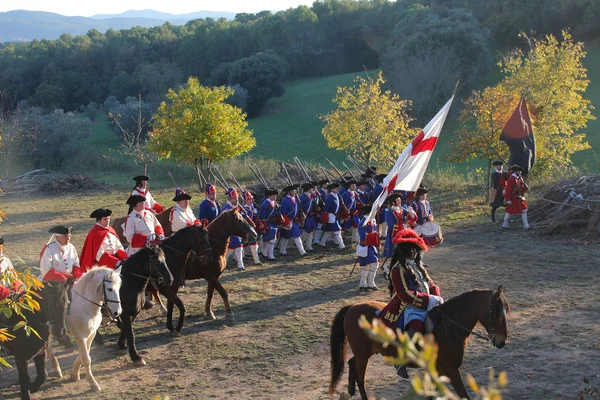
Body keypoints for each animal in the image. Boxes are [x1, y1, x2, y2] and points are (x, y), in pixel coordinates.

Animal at [328, 286, 510, 400]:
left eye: (505, 310)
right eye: (494, 312)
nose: (502, 341)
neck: (449, 326)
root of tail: (352, 307)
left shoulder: (438, 369)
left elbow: (431, 393)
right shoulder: (450, 368)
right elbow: (463, 394)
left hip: (366, 352)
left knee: (351, 363)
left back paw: (347, 393)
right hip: (363, 354)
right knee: (360, 378)